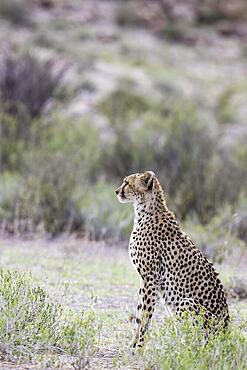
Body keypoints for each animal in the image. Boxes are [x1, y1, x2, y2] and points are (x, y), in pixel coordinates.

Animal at [116, 172, 230, 348]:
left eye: (127, 183)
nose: (116, 191)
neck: (145, 210)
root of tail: (226, 334)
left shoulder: (150, 278)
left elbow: (145, 316)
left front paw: (139, 347)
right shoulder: (144, 279)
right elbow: (139, 314)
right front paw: (132, 344)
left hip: (186, 302)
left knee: (197, 342)